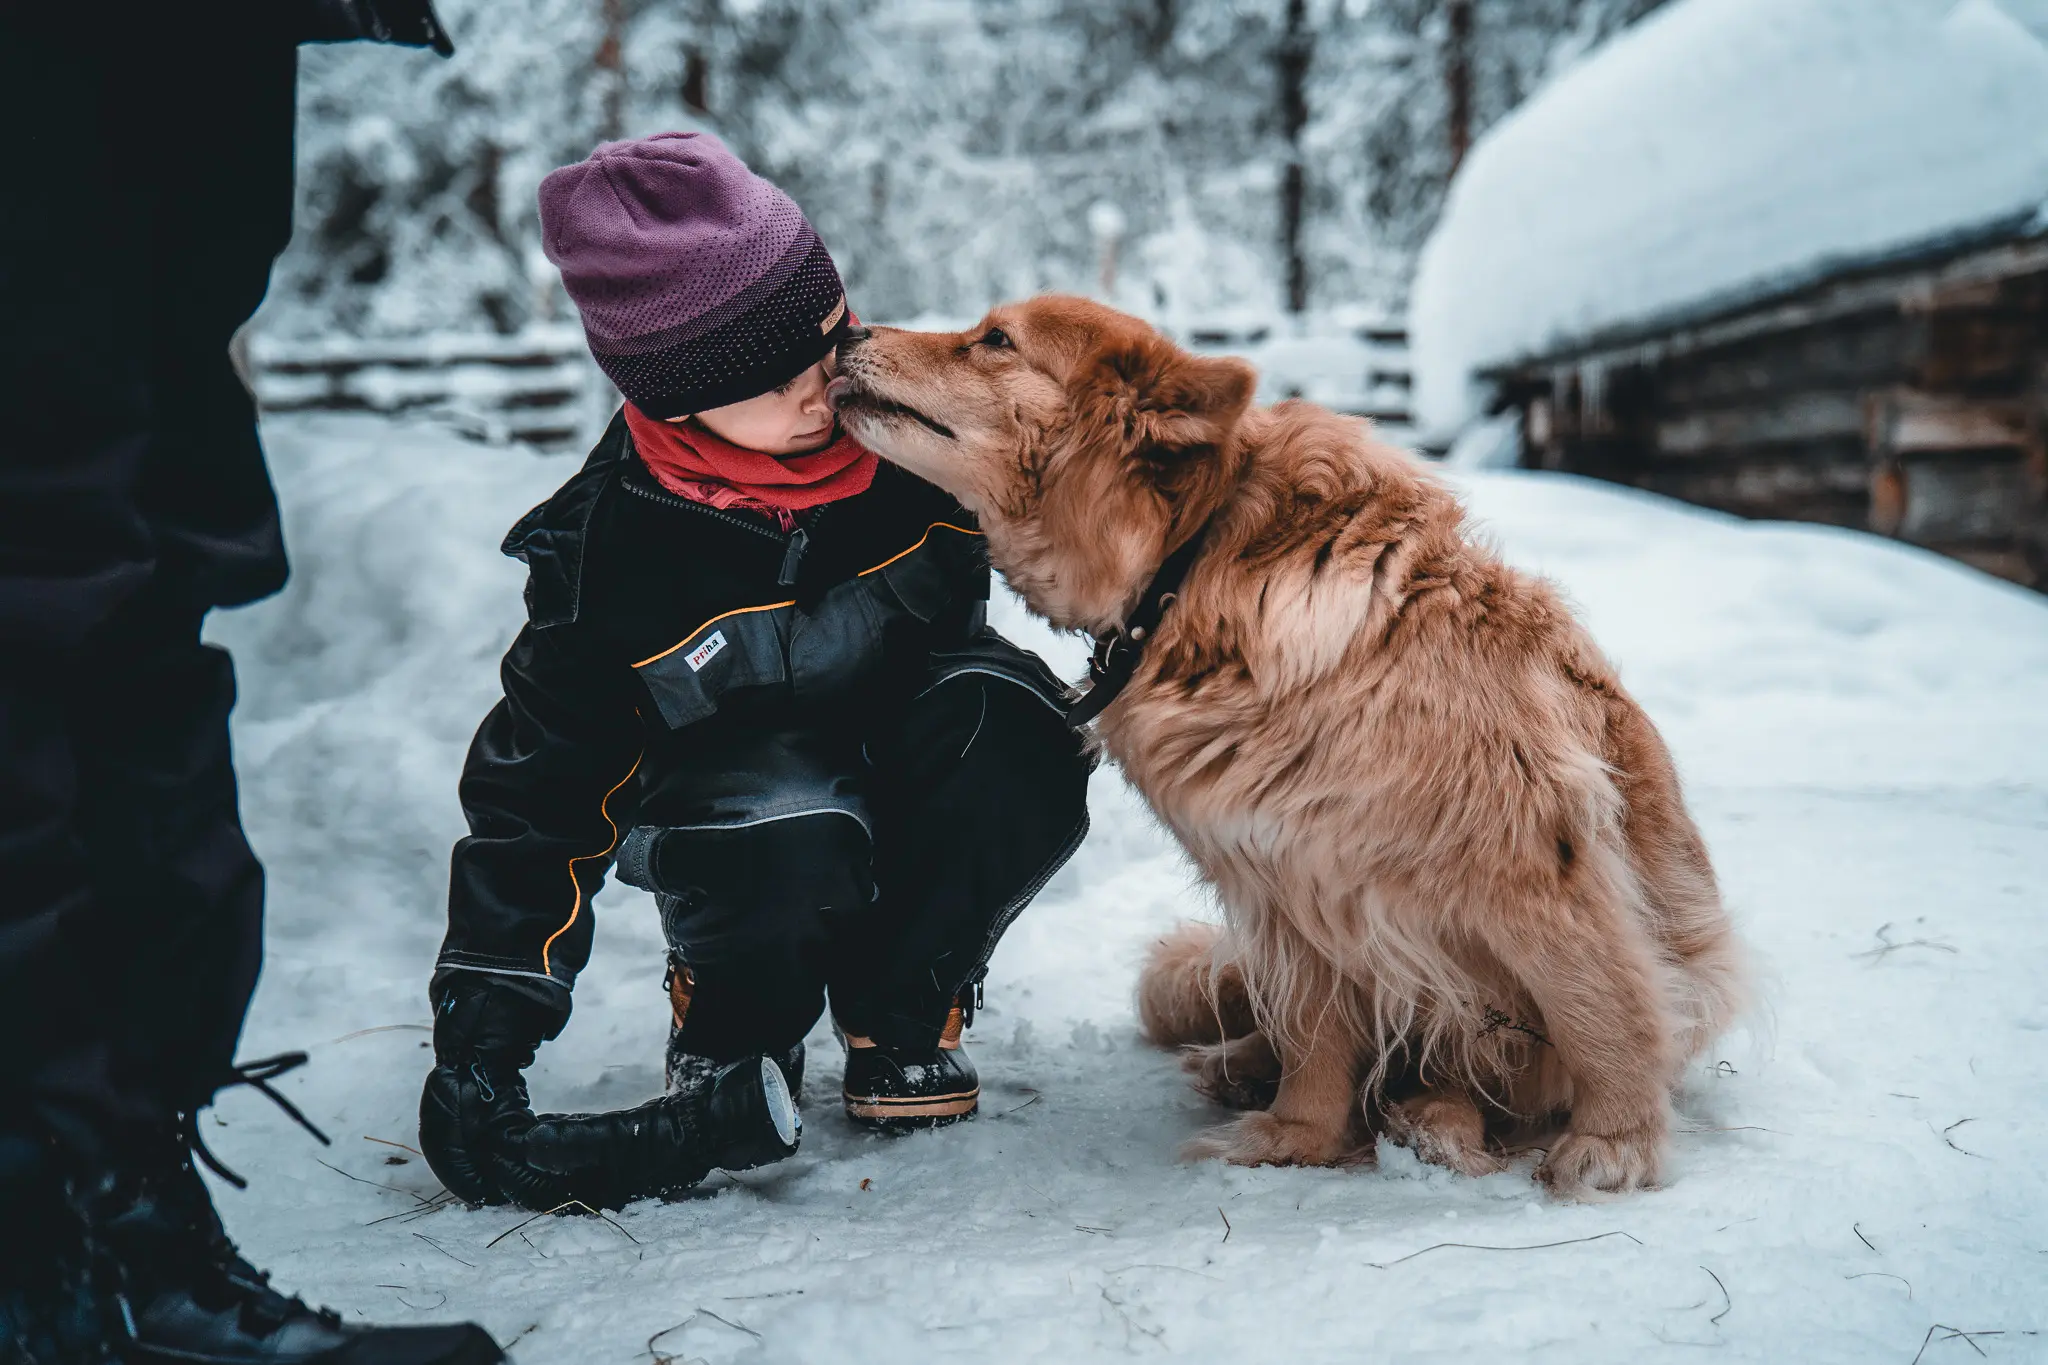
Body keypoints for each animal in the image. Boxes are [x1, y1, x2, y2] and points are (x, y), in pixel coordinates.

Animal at [831, 298, 1744, 1195]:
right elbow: (1314, 1033)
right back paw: (1251, 1067)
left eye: (995, 339)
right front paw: (1295, 1134)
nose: (845, 335)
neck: (1192, 565)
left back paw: (1437, 1117)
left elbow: (1600, 1005)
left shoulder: (1531, 860)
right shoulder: (1286, 876)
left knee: (1481, 1063)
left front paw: (1616, 1141)